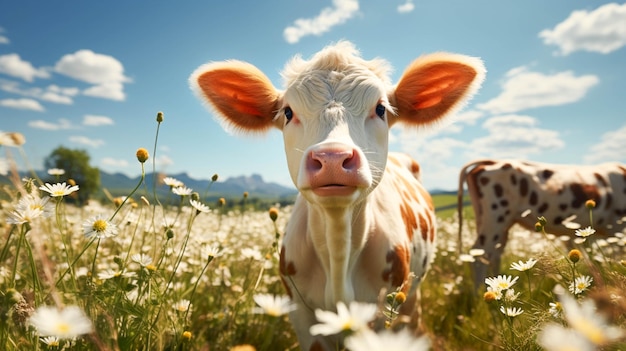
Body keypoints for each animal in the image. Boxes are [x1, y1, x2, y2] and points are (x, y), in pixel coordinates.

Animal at [456, 160, 624, 288]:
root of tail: (489, 162)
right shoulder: (618, 228)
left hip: (498, 223)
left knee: (493, 256)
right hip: (495, 219)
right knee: (480, 257)